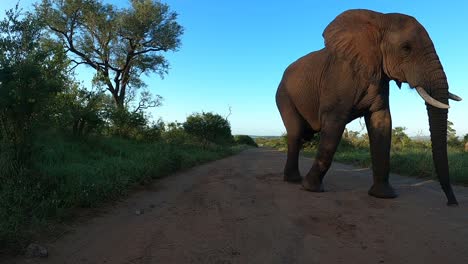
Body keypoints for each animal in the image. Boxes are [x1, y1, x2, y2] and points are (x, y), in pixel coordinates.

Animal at [276, 8, 462, 206]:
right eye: (406, 48)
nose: (452, 203)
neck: (379, 20)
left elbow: (382, 123)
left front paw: (384, 195)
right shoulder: (339, 75)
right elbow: (334, 124)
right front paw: (310, 188)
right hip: (283, 95)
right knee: (295, 133)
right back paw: (294, 181)